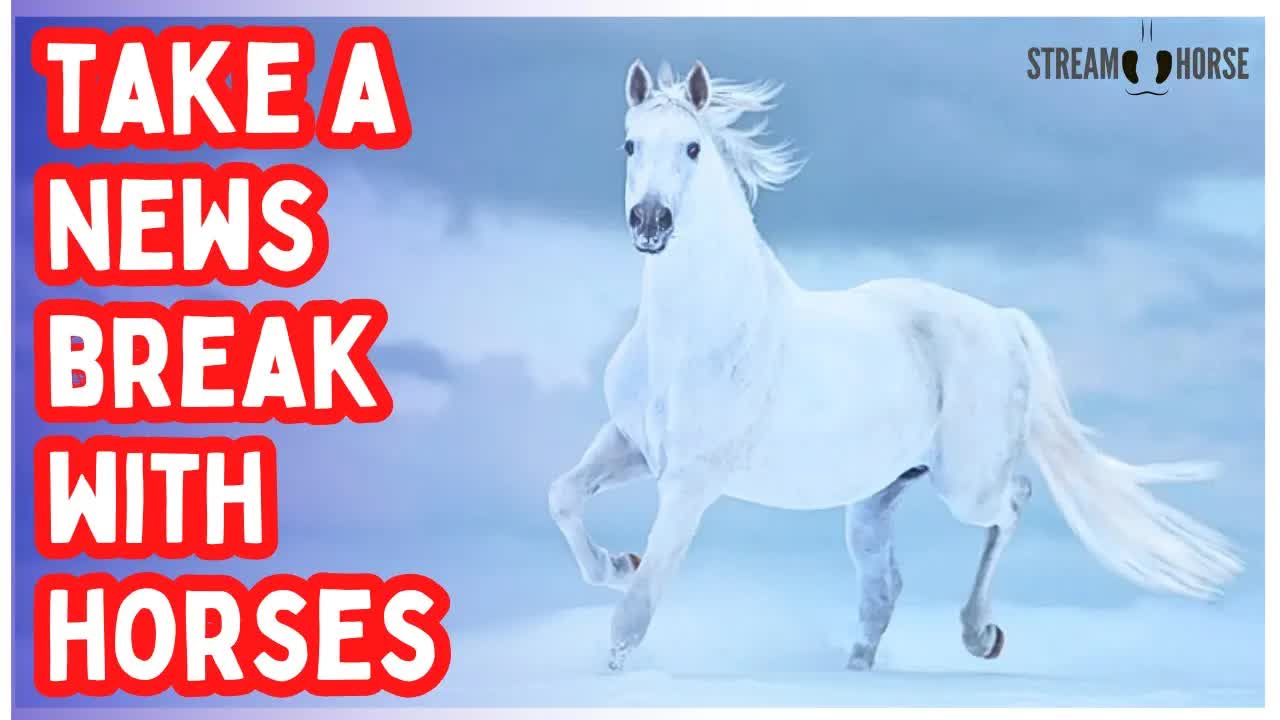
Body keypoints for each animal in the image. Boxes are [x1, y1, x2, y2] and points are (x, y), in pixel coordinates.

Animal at [549, 59, 1242, 672]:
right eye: (630, 145)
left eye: (692, 148)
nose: (650, 221)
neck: (694, 337)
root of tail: (1003, 322)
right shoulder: (632, 445)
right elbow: (565, 497)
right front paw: (618, 563)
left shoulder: (690, 483)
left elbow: (635, 612)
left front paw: (618, 648)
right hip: (875, 499)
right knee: (885, 588)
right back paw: (859, 668)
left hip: (967, 485)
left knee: (1013, 501)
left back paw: (980, 634)